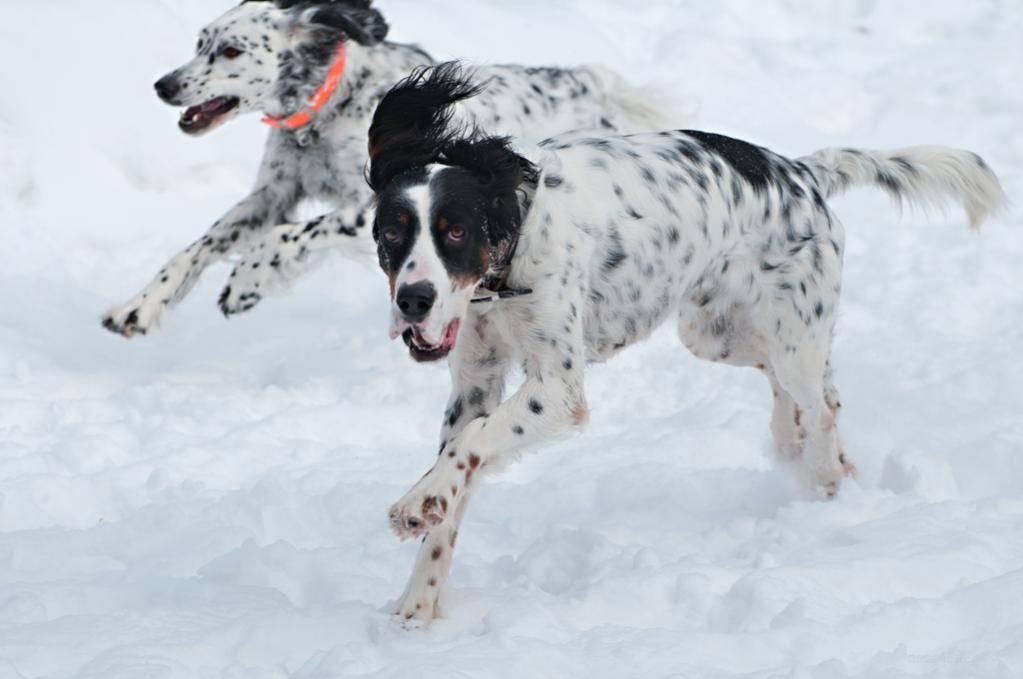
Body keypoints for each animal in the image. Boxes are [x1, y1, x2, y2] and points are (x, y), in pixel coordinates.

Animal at [99, 0, 666, 337]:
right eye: (199, 43)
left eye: (232, 50)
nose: (165, 85)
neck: (324, 112)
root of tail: (593, 85)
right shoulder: (271, 195)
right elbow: (198, 248)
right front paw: (140, 306)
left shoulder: (368, 207)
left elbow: (288, 236)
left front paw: (248, 282)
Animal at [364, 64, 1002, 625]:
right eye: (392, 231)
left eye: (454, 231)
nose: (414, 300)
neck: (506, 256)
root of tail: (803, 173)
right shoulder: (475, 380)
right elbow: (456, 471)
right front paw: (416, 605)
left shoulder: (558, 388)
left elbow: (470, 445)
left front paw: (416, 506)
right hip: (715, 331)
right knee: (813, 388)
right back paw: (793, 440)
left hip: (789, 331)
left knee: (818, 402)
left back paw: (824, 475)